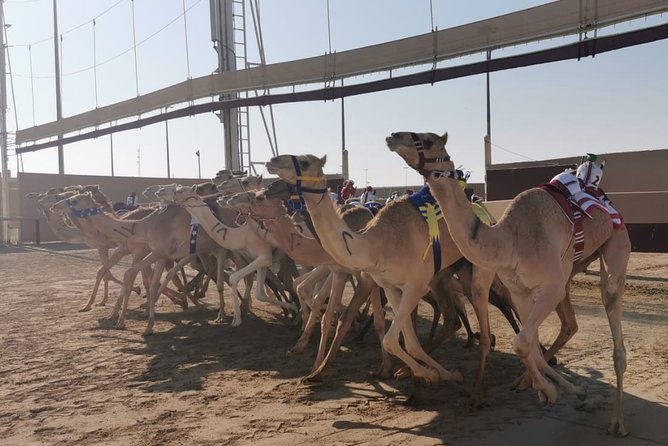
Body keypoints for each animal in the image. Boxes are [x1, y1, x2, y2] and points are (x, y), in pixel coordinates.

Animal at [385, 131, 630, 436]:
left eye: (428, 140)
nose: (393, 136)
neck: (510, 240)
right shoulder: (519, 290)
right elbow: (527, 343)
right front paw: (554, 389)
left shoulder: (550, 286)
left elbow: (522, 341)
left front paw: (551, 389)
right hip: (571, 269)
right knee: (567, 325)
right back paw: (530, 382)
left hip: (615, 244)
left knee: (611, 310)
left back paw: (618, 422)